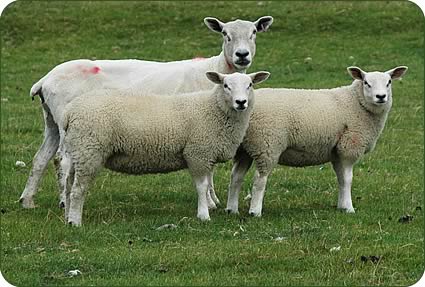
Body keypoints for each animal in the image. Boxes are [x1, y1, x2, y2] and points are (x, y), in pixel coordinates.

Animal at [18, 15, 274, 210]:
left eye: (253, 32)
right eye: (225, 34)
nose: (242, 55)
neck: (217, 72)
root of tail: (45, 80)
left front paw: (213, 200)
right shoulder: (203, 128)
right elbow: (207, 170)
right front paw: (211, 202)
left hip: (52, 120)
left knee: (41, 158)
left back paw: (27, 201)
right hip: (70, 123)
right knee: (62, 160)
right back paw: (63, 201)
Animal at [59, 71, 268, 226]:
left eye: (250, 84)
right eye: (226, 85)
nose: (241, 102)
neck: (214, 109)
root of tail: (69, 112)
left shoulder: (206, 155)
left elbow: (207, 185)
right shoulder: (197, 153)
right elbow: (202, 187)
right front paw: (203, 215)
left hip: (77, 152)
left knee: (68, 185)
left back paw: (67, 217)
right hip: (89, 151)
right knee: (78, 189)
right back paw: (75, 222)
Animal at [225, 66, 408, 217]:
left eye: (389, 82)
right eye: (367, 83)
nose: (381, 97)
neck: (356, 103)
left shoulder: (336, 151)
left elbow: (341, 179)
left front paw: (341, 206)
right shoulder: (349, 147)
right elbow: (348, 179)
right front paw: (349, 208)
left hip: (244, 148)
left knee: (236, 176)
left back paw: (232, 209)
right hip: (267, 144)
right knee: (259, 179)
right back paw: (255, 211)